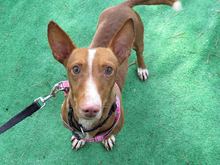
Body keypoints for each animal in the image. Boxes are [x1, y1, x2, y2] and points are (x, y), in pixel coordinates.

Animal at [47, 0, 181, 150]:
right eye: (75, 69)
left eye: (109, 70)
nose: (90, 109)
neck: (88, 126)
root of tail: (121, 5)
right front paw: (79, 138)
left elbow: (109, 134)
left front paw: (107, 138)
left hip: (138, 38)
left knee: (139, 53)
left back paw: (142, 68)